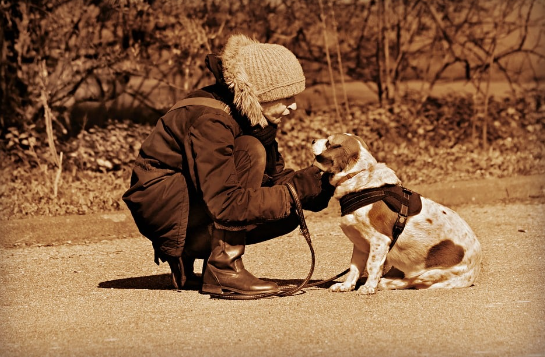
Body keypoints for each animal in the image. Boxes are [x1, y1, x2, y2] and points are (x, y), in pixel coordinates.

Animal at [310, 134, 480, 294]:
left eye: (328, 142)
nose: (312, 141)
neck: (359, 176)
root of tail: (474, 273)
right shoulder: (360, 244)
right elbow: (354, 268)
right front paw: (346, 286)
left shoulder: (380, 241)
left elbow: (372, 266)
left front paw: (369, 287)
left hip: (428, 274)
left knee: (410, 281)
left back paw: (384, 282)